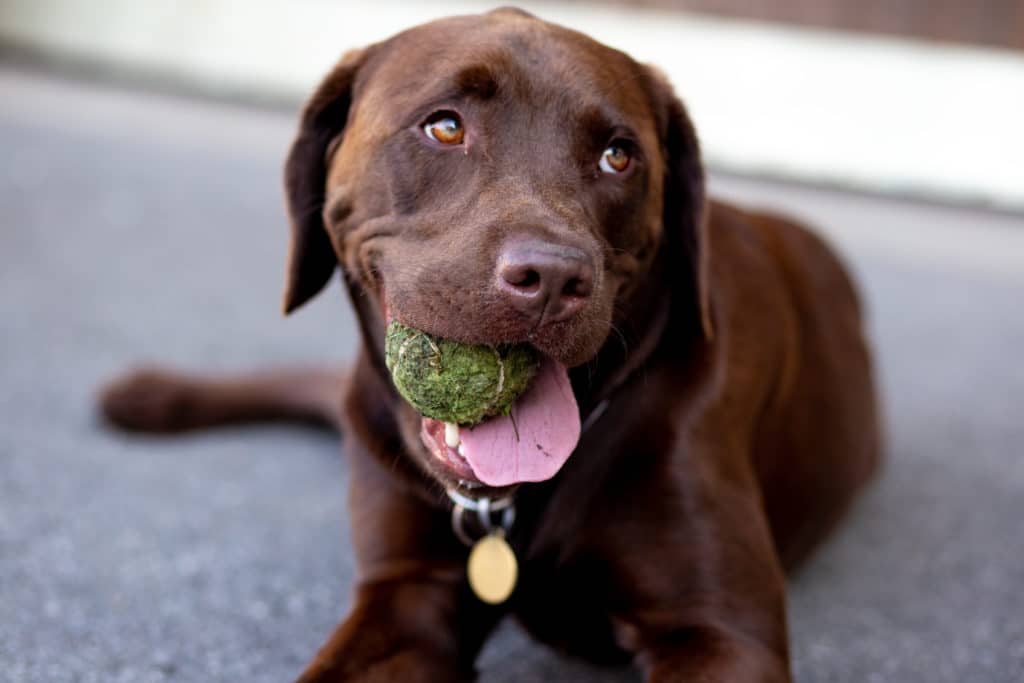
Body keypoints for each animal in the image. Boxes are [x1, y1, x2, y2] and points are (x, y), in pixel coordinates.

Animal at [101, 7, 880, 679]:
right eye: (445, 127)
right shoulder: (407, 594)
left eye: (619, 155)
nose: (553, 278)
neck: (504, 506)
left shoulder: (718, 630)